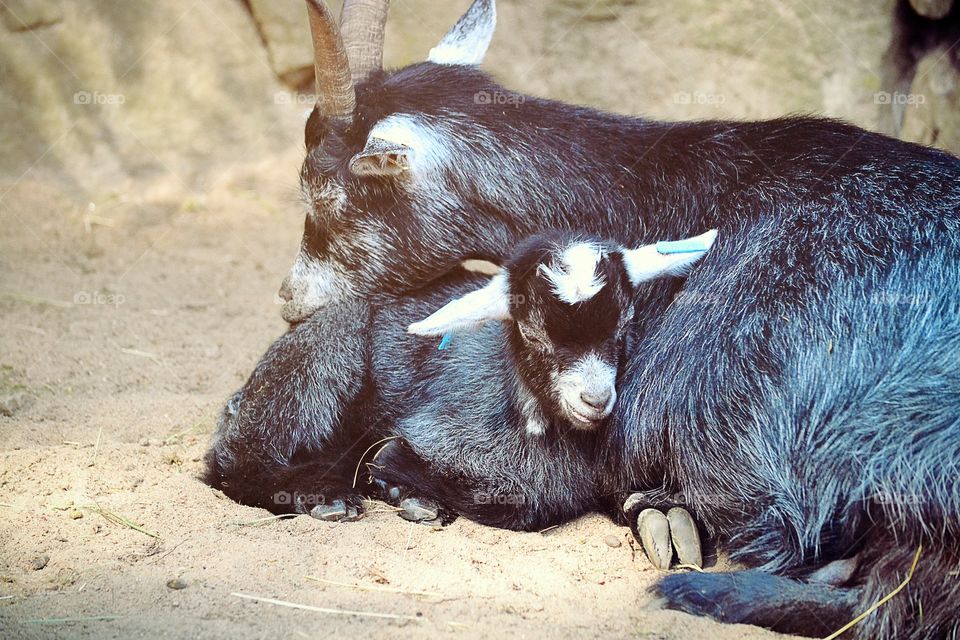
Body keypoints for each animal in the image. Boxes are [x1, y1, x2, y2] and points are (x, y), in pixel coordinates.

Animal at [206, 230, 716, 528]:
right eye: (533, 332)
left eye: (624, 325)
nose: (595, 399)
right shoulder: (443, 430)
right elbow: (526, 504)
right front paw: (395, 471)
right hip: (322, 362)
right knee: (232, 462)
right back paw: (328, 497)